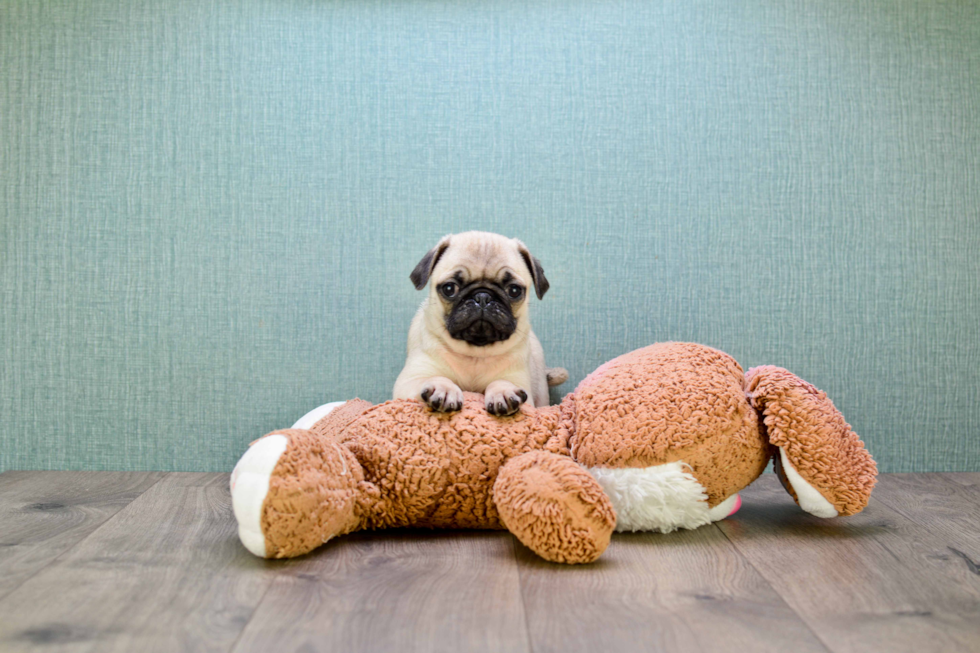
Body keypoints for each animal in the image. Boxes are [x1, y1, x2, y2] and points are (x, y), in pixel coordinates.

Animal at [394, 232, 568, 416]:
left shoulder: (519, 382)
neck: (474, 354)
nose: (483, 296)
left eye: (514, 291)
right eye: (449, 288)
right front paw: (443, 388)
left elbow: (502, 382)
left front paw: (503, 391)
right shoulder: (410, 380)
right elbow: (435, 377)